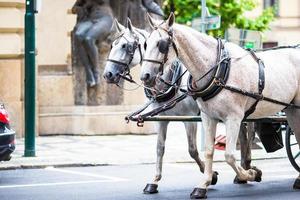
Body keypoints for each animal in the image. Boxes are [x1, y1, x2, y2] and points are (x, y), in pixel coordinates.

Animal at [141, 12, 300, 198]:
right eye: (145, 44)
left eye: (162, 44)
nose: (145, 76)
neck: (218, 69)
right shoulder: (208, 117)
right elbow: (209, 150)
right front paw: (204, 184)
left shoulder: (233, 118)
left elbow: (229, 156)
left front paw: (251, 174)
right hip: (291, 110)